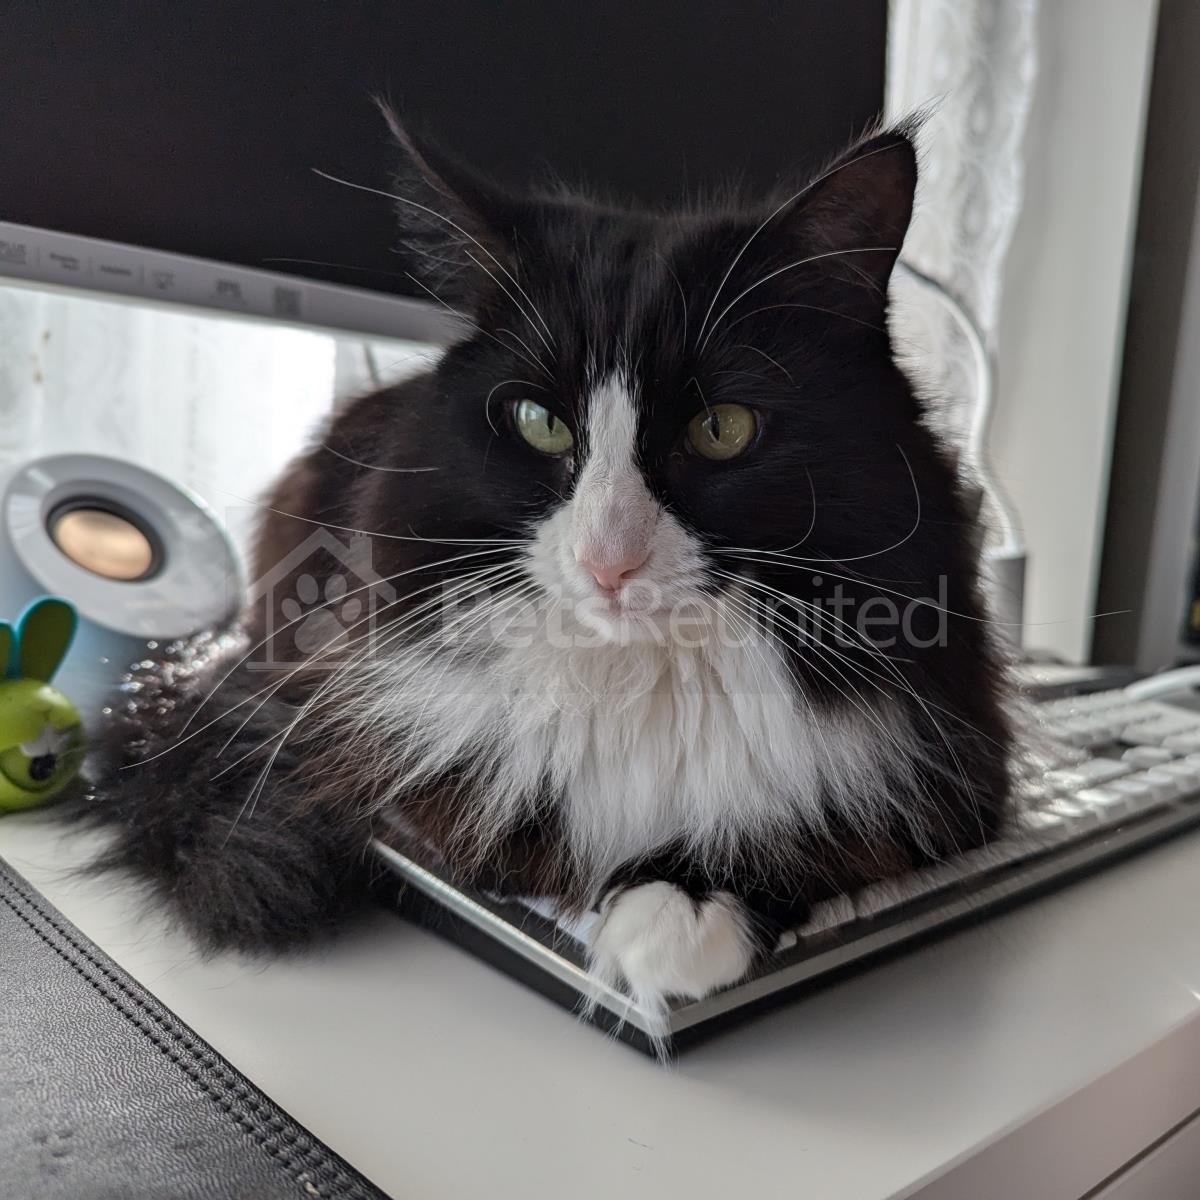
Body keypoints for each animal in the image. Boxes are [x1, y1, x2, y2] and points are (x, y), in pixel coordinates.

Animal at [83, 111, 1012, 1021]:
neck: (644, 676)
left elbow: (828, 825)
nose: (609, 560)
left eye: (722, 429)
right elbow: (499, 811)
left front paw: (681, 906)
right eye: (539, 423)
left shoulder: (956, 764)